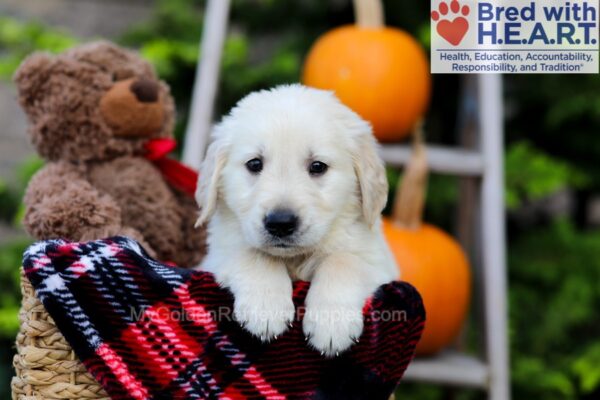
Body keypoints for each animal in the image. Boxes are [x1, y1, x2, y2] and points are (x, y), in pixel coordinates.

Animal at [196, 85, 398, 356]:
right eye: (255, 163)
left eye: (318, 166)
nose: (280, 223)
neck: (295, 259)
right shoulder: (216, 257)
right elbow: (256, 253)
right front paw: (265, 307)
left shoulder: (380, 264)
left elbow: (343, 260)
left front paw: (332, 323)